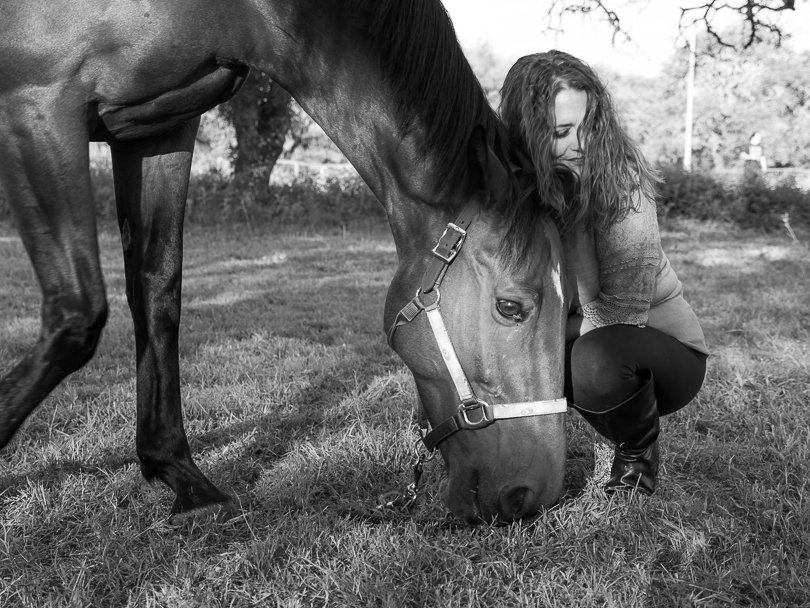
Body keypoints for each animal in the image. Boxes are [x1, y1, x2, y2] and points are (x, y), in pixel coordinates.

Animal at [0, 0, 568, 524]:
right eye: (511, 308)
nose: (531, 496)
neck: (235, 13)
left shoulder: (158, 131)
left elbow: (157, 294)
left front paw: (181, 477)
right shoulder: (38, 106)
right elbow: (77, 312)